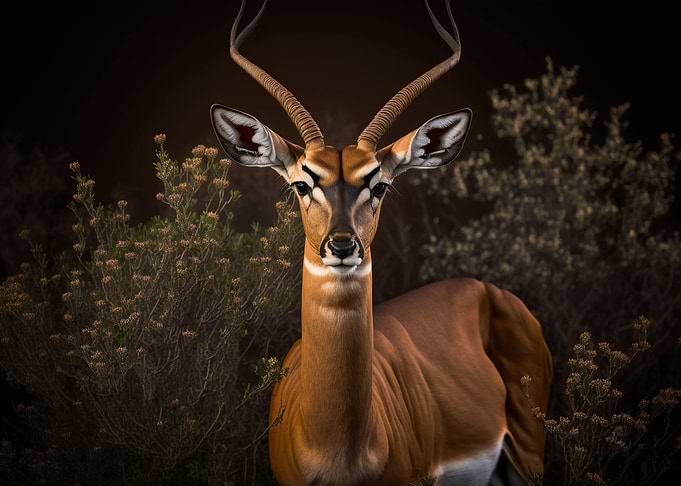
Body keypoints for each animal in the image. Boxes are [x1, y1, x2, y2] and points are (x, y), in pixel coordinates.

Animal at [211, 1, 553, 484]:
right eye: (301, 183)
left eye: (379, 185)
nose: (341, 246)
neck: (338, 449)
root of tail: (488, 289)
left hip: (529, 452)